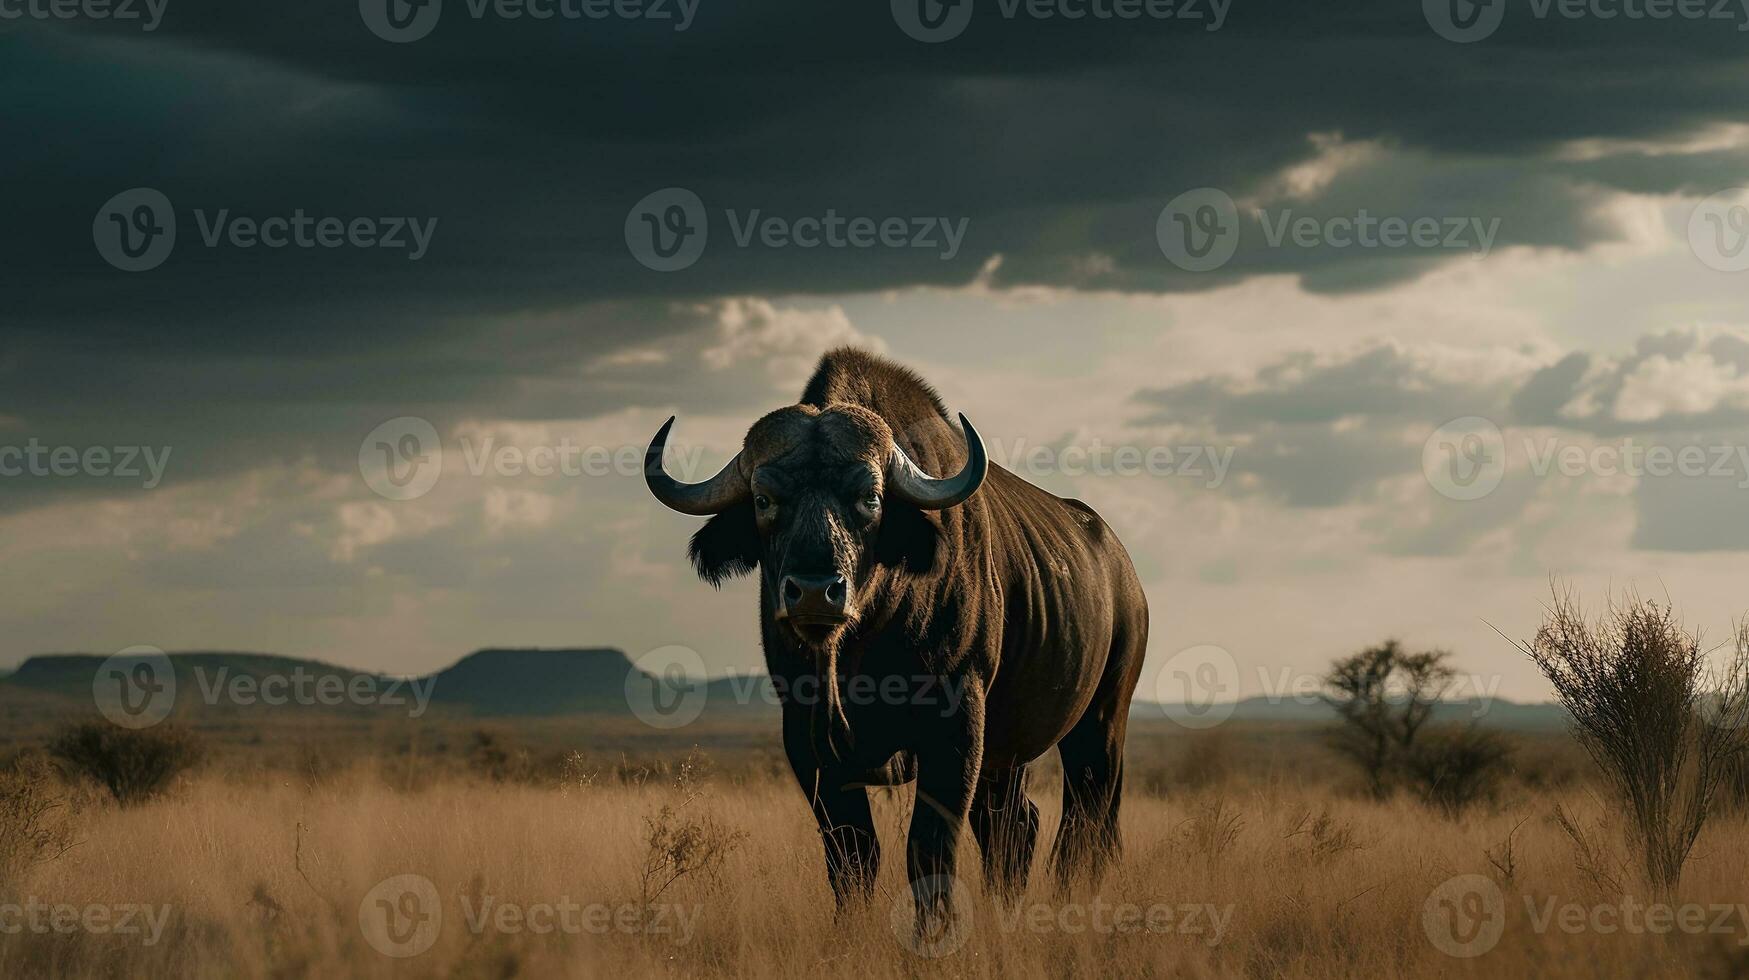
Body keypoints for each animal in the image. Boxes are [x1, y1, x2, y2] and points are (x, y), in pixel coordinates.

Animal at [643, 348, 1147, 917]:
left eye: (870, 497)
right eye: (763, 499)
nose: (814, 592)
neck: (859, 651)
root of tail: (1124, 574)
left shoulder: (957, 721)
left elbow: (928, 849)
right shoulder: (805, 738)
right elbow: (852, 855)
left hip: (1101, 724)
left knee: (1084, 829)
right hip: (1010, 751)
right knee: (1015, 829)